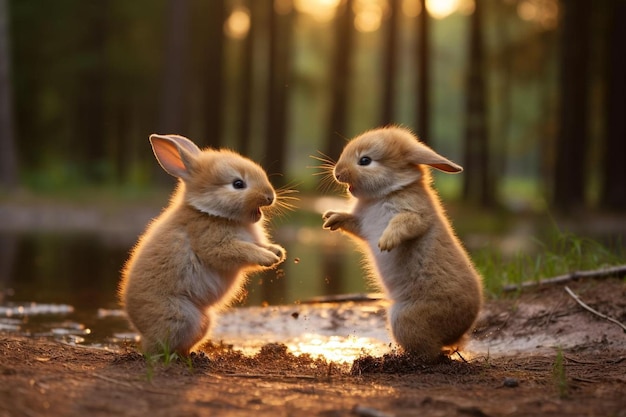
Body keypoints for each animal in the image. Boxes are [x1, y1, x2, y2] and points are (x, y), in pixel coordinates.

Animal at [117, 135, 286, 356]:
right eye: (238, 184)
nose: (270, 196)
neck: (211, 212)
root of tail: (141, 330)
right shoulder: (216, 246)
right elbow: (244, 250)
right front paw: (270, 258)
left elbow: (260, 246)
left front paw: (278, 252)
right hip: (181, 317)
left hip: (203, 322)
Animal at [322, 127, 482, 360]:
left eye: (365, 160)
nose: (338, 172)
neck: (388, 191)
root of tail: (458, 332)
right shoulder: (361, 224)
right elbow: (350, 222)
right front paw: (331, 218)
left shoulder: (415, 214)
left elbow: (404, 222)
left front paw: (386, 242)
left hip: (404, 319)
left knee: (430, 353)